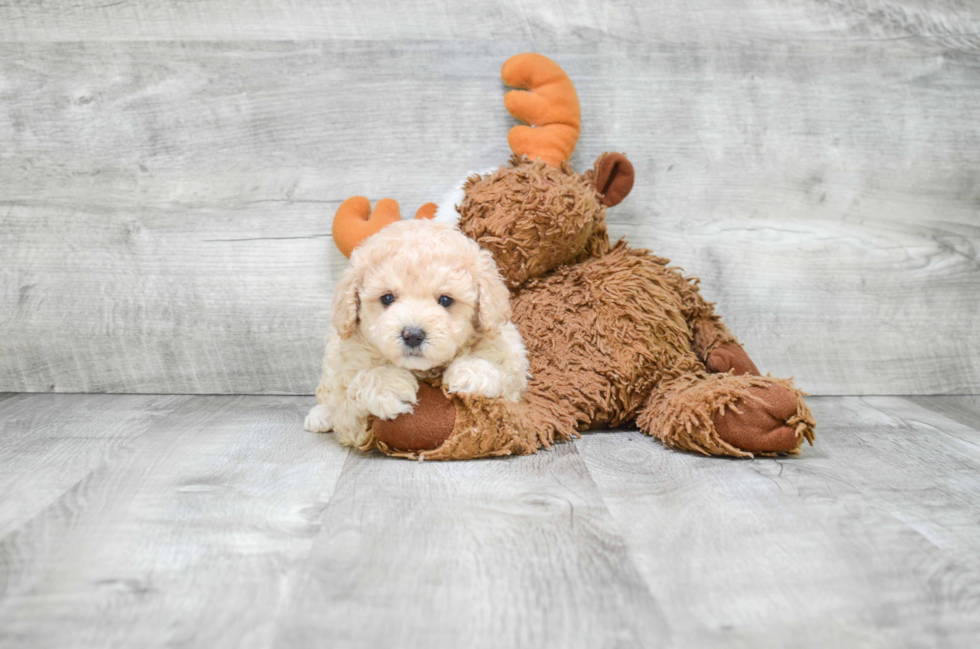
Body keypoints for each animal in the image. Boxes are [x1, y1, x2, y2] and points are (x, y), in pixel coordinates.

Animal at [304, 218, 528, 446]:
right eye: (387, 298)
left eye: (445, 300)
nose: (412, 335)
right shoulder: (351, 420)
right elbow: (351, 395)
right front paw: (387, 385)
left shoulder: (512, 365)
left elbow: (505, 376)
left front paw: (472, 372)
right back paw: (320, 415)